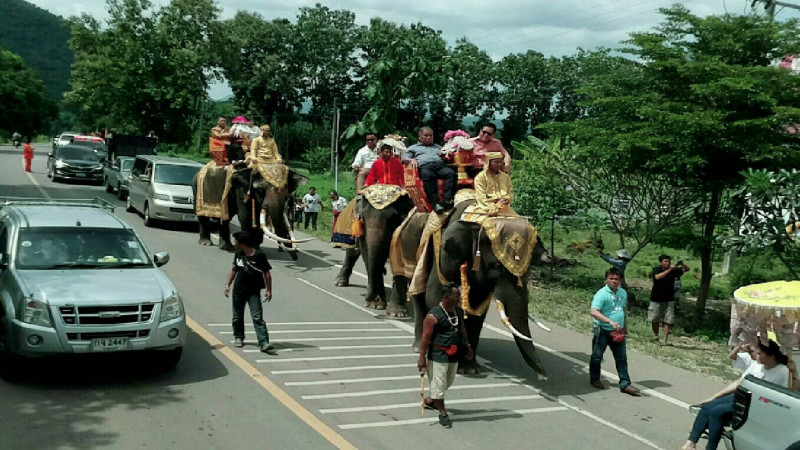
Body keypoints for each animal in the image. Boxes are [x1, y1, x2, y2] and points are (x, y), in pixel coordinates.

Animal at [334, 186, 416, 316]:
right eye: (362, 217)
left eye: (392, 219)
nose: (367, 299)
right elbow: (367, 254)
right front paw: (375, 305)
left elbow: (401, 261)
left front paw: (397, 313)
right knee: (352, 253)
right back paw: (340, 283)